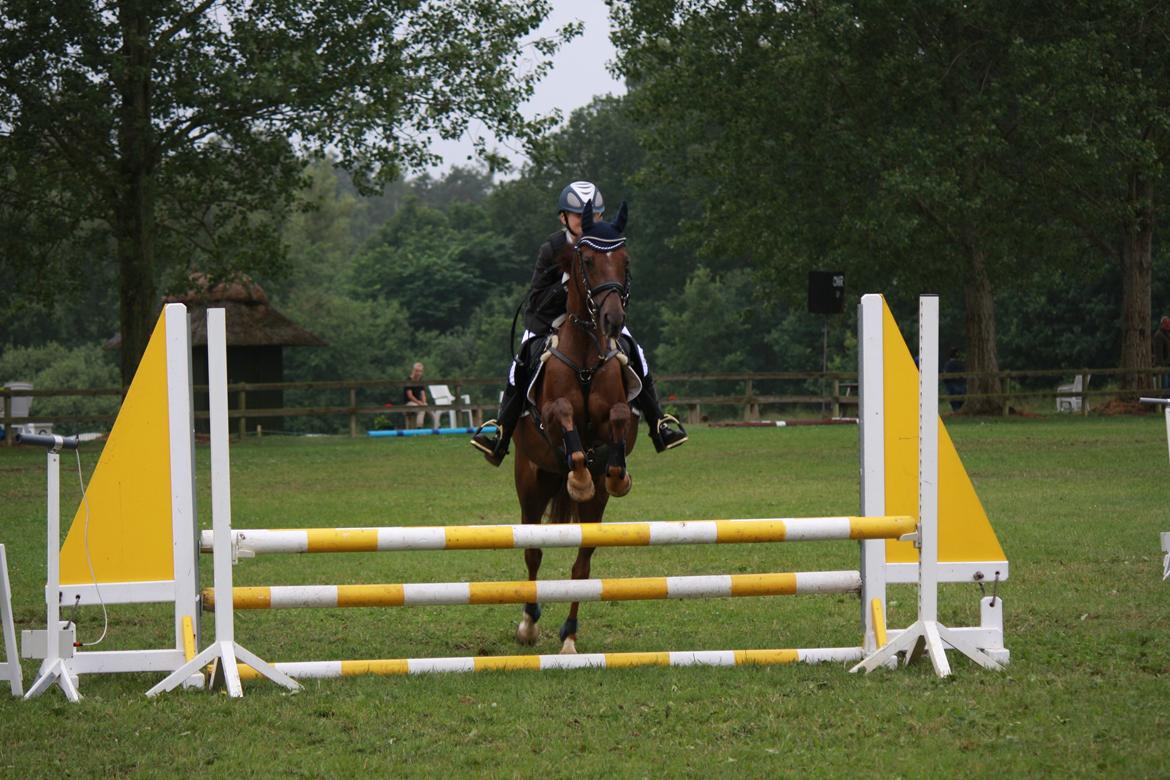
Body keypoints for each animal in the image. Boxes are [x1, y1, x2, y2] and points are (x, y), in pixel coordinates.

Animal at [510, 201, 638, 654]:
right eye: (587, 261)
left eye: (625, 261)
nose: (613, 320)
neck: (584, 354)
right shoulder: (551, 415)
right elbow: (564, 414)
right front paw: (578, 476)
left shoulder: (617, 413)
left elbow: (617, 421)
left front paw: (615, 473)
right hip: (532, 482)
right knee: (532, 551)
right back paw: (528, 625)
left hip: (592, 510)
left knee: (582, 564)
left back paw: (569, 635)